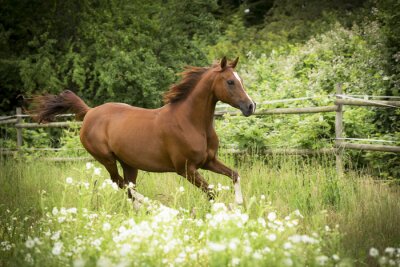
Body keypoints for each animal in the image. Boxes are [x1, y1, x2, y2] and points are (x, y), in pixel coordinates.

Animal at [32, 57, 255, 205]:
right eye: (230, 81)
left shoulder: (209, 161)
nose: (251, 106)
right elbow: (211, 192)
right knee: (121, 184)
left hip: (129, 163)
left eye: (241, 80)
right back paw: (152, 204)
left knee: (128, 186)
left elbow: (235, 175)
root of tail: (90, 112)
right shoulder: (186, 169)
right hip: (106, 158)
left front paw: (239, 203)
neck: (191, 122)